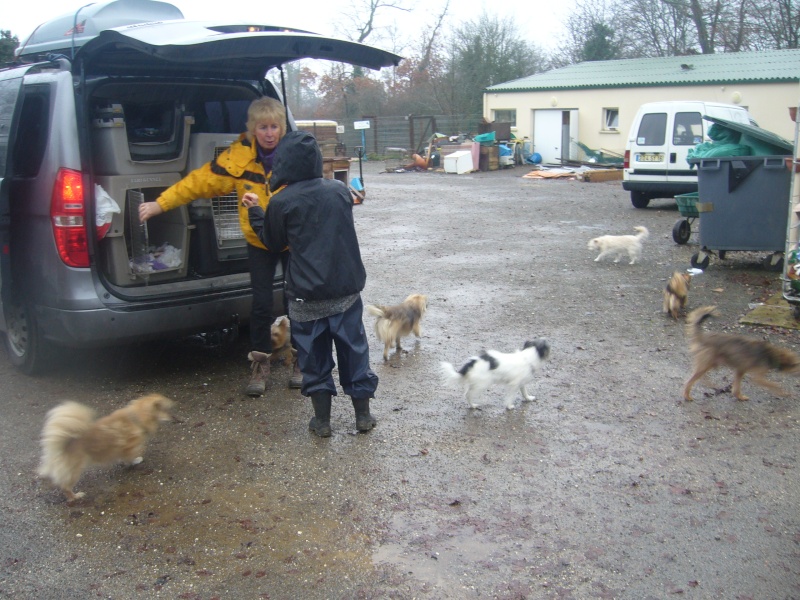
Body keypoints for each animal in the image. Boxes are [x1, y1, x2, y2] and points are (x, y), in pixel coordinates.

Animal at [38, 394, 174, 502]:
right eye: (167, 411)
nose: (175, 419)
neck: (136, 418)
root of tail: (66, 443)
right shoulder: (129, 447)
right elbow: (130, 457)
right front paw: (135, 461)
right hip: (75, 470)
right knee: (65, 487)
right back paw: (75, 496)